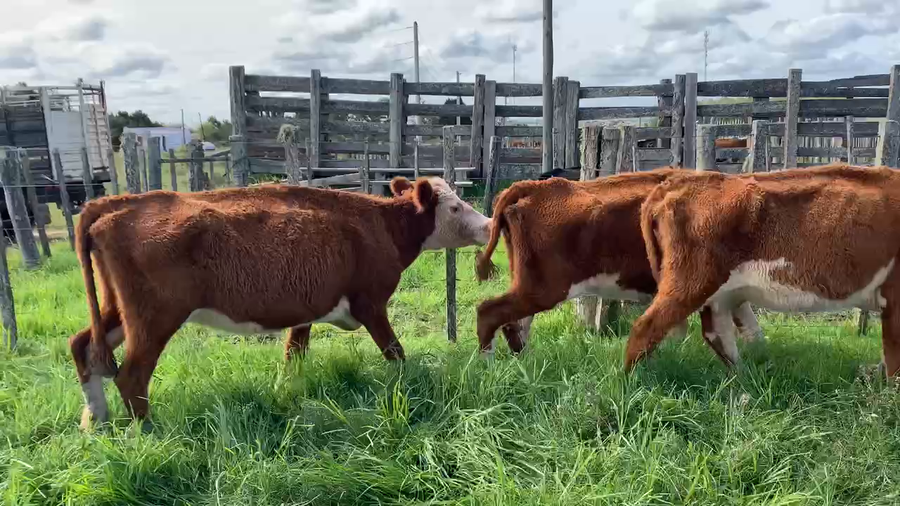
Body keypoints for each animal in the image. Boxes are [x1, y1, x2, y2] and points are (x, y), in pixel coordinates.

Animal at [69, 176, 491, 430]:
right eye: (455, 207)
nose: (488, 226)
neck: (377, 224)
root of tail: (116, 203)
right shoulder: (370, 304)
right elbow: (395, 353)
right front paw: (414, 387)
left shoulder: (305, 309)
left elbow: (294, 355)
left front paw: (287, 396)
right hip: (155, 318)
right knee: (131, 375)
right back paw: (148, 434)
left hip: (118, 313)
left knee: (83, 347)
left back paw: (95, 422)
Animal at [474, 168, 763, 360]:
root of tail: (532, 186)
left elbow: (750, 327)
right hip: (545, 287)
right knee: (490, 312)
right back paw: (488, 365)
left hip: (529, 283)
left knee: (515, 323)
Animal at [625, 163, 900, 376]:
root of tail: (675, 183)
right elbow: (894, 358)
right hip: (690, 281)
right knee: (645, 327)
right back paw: (633, 383)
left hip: (718, 293)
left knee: (717, 333)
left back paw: (746, 382)